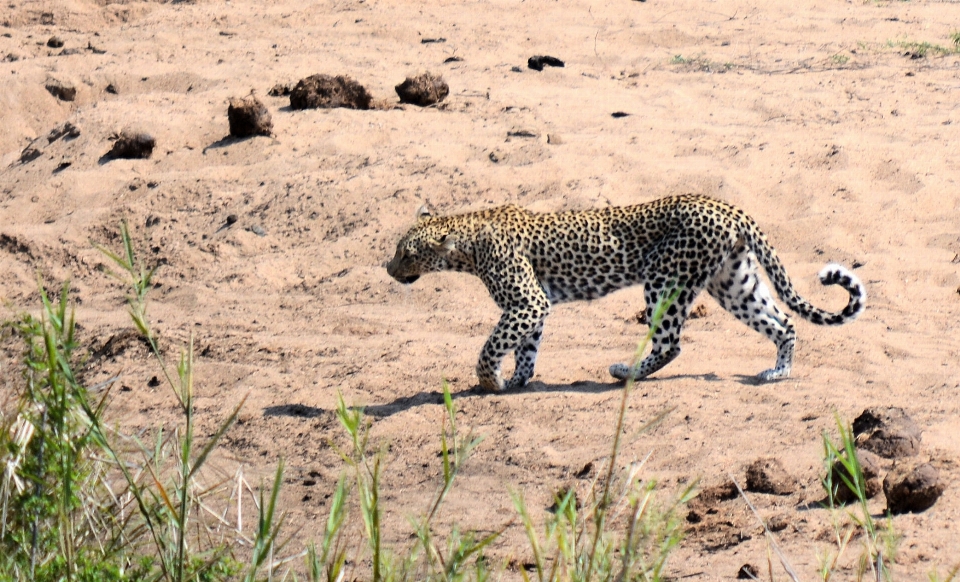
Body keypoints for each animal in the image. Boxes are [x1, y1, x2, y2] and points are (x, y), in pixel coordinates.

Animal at [386, 196, 868, 392]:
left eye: (406, 253)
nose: (388, 269)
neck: (467, 241)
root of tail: (727, 207)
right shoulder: (533, 306)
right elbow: (525, 347)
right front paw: (519, 379)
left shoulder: (527, 302)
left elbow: (490, 347)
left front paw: (490, 382)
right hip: (733, 282)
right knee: (782, 322)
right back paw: (778, 372)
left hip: (666, 280)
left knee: (671, 343)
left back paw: (626, 372)